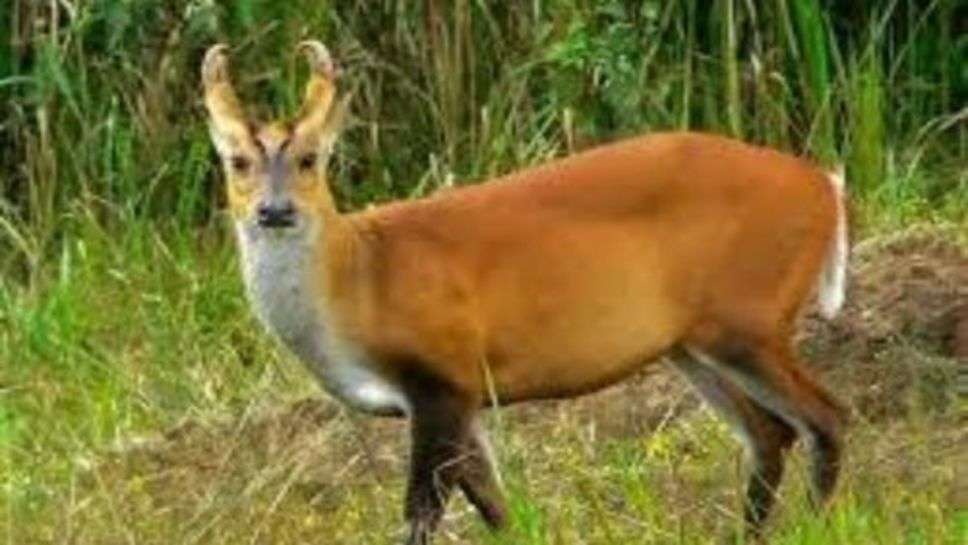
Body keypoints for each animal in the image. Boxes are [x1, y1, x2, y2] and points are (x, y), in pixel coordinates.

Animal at [202, 40, 848, 540]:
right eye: (237, 162)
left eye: (310, 159)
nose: (275, 211)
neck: (357, 279)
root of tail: (825, 185)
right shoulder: (458, 396)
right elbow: (497, 510)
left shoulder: (442, 374)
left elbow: (421, 516)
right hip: (692, 343)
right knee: (770, 433)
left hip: (748, 316)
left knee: (826, 417)